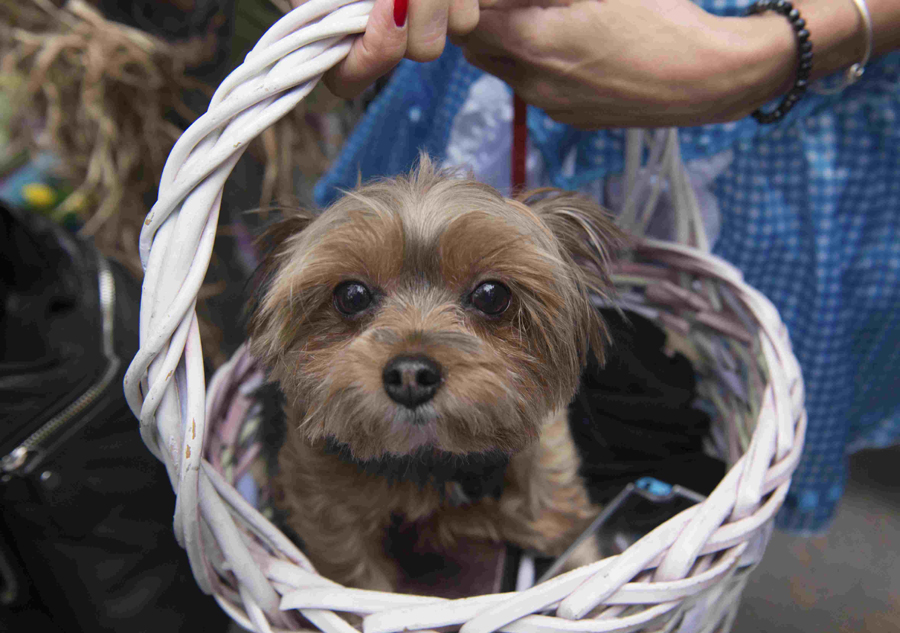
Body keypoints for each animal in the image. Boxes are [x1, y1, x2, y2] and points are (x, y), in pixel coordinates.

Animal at [250, 156, 624, 592]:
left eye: (491, 295)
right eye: (351, 295)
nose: (410, 375)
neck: (431, 458)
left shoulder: (550, 467)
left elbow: (571, 538)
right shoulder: (325, 506)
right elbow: (359, 579)